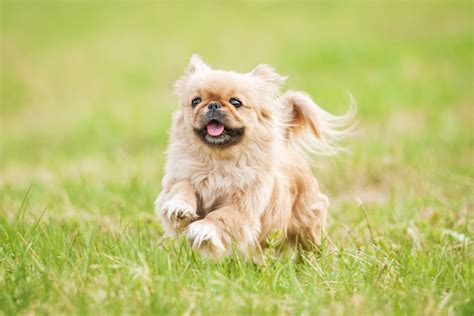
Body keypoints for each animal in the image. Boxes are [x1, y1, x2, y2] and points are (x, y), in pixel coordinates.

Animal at [154, 54, 354, 256]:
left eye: (235, 102)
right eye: (195, 101)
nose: (213, 104)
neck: (218, 162)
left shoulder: (241, 208)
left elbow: (220, 217)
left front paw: (203, 229)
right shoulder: (182, 177)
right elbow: (181, 189)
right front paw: (179, 206)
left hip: (306, 224)